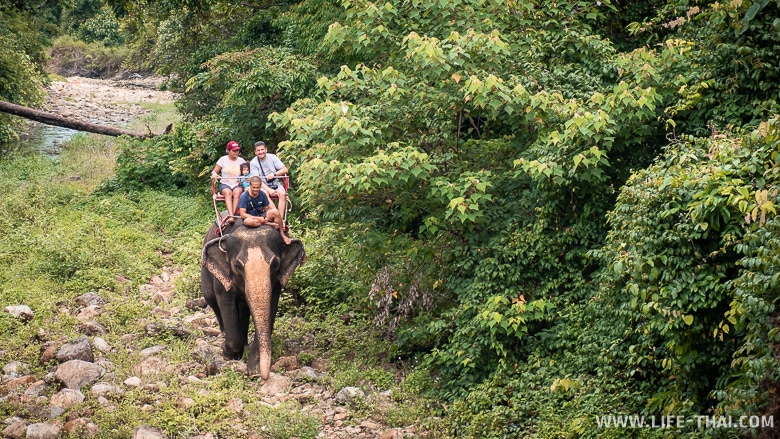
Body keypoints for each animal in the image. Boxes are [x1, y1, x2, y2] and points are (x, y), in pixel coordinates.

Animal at [200, 220, 306, 382]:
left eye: (275, 264)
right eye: (238, 265)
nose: (265, 377)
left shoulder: (276, 283)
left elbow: (270, 308)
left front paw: (253, 370)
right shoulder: (224, 278)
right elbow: (225, 301)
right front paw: (227, 353)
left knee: (243, 309)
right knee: (211, 299)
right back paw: (225, 334)